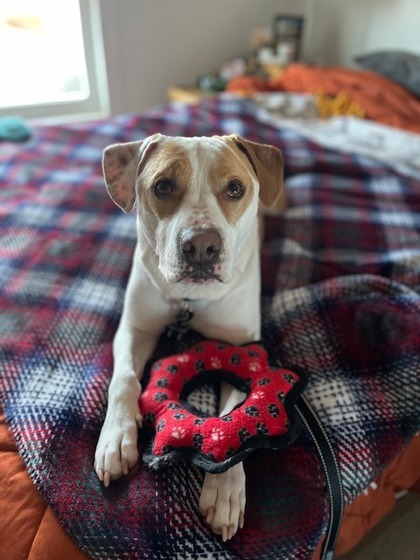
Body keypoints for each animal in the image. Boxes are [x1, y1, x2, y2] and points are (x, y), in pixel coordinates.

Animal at [94, 133, 286, 540]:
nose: (201, 245)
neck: (188, 300)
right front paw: (116, 437)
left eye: (235, 188)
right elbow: (124, 380)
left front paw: (225, 488)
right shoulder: (135, 329)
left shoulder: (243, 348)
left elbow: (236, 415)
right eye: (163, 186)